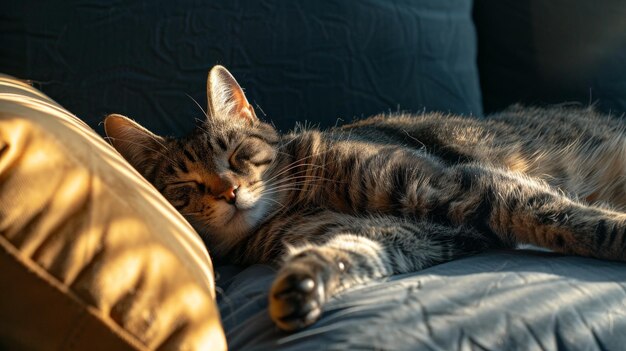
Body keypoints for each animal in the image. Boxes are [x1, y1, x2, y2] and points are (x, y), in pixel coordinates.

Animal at [102, 66, 624, 332]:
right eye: (186, 188)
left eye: (237, 153)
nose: (229, 192)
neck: (300, 200)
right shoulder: (417, 232)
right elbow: (350, 253)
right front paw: (303, 284)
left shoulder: (461, 188)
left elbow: (563, 217)